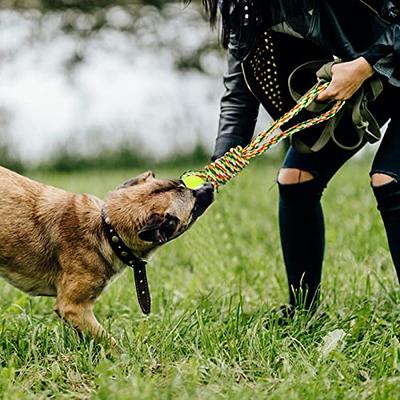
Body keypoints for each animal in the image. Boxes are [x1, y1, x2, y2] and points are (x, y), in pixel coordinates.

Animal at [0, 166, 212, 344]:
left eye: (183, 183)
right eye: (193, 204)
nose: (210, 185)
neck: (106, 229)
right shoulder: (74, 308)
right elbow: (110, 342)